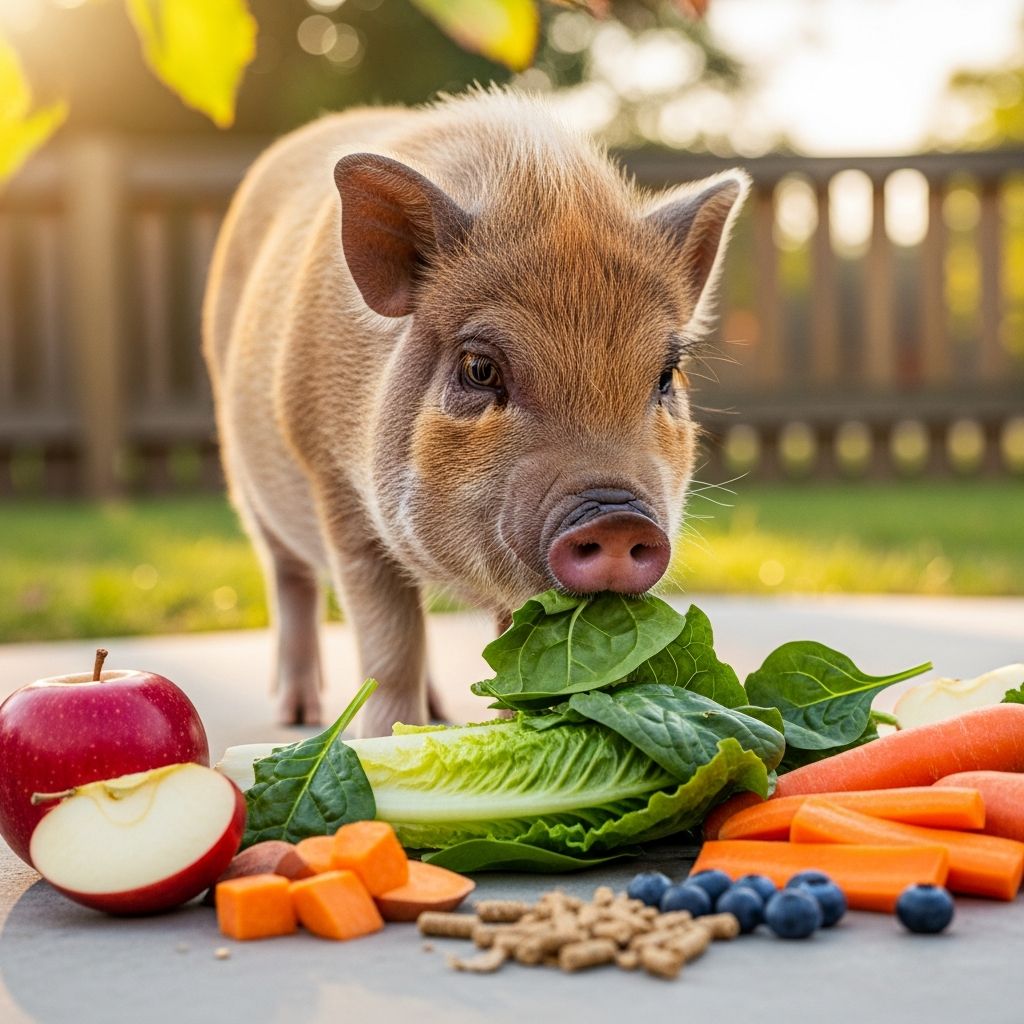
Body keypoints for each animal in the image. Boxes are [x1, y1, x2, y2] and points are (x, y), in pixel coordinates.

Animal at [202, 88, 749, 736]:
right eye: (480, 369)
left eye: (665, 376)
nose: (617, 519)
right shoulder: (339, 495)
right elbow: (390, 645)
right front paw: (383, 738)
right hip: (247, 486)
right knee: (289, 580)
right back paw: (298, 715)